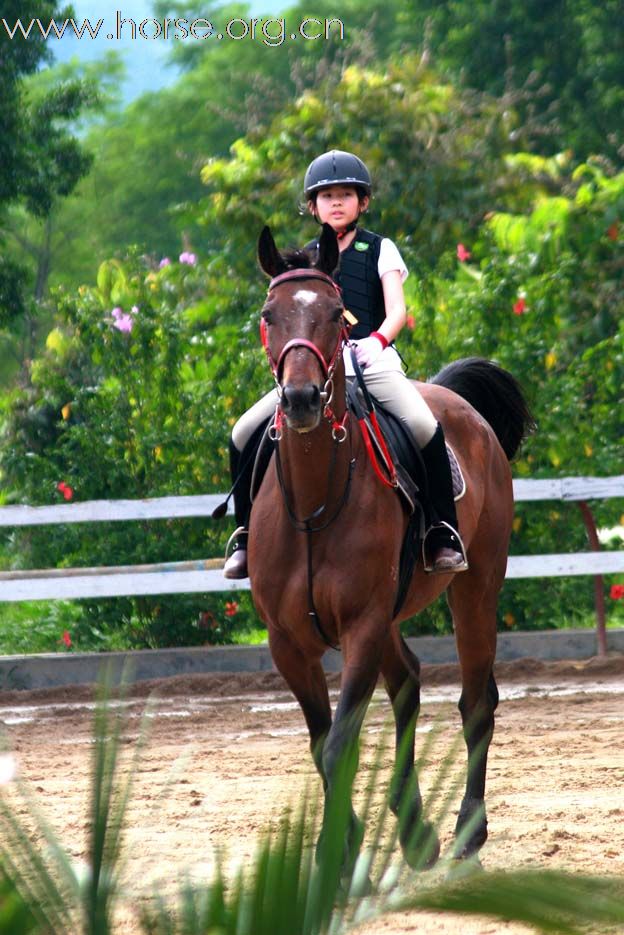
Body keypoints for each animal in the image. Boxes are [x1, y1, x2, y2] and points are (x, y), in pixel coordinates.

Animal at [249, 223, 532, 872]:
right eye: (270, 315)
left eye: (335, 315)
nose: (300, 400)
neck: (315, 502)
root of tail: (459, 405)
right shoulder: (288, 642)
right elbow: (321, 741)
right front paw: (345, 842)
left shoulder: (362, 624)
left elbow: (339, 743)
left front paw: (336, 851)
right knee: (407, 682)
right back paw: (416, 830)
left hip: (474, 590)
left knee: (476, 702)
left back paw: (466, 833)